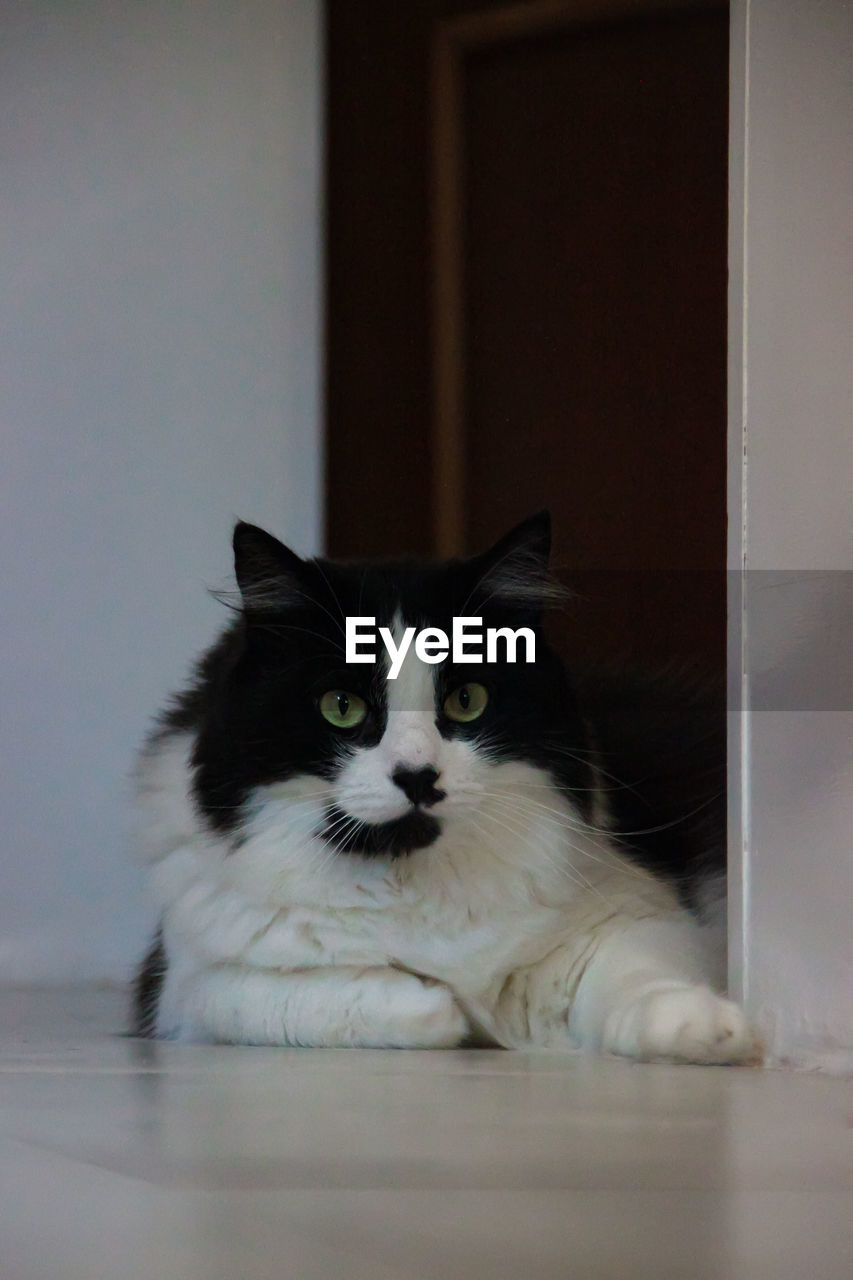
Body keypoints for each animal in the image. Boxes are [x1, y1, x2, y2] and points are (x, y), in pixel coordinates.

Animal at [133, 509, 758, 1059]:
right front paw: (440, 1006)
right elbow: (289, 993)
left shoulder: (637, 916)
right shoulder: (178, 988)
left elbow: (642, 981)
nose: (417, 777)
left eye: (466, 700)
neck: (412, 881)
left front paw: (714, 1030)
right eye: (341, 706)